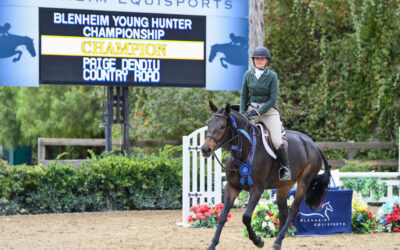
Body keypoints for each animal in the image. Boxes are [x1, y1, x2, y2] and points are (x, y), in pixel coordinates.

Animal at [200, 100, 332, 249]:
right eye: (208, 123)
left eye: (222, 126)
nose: (205, 149)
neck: (244, 152)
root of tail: (313, 145)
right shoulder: (232, 187)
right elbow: (222, 216)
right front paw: (212, 245)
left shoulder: (257, 189)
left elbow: (246, 217)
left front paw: (258, 240)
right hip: (284, 186)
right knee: (283, 213)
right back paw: (277, 243)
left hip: (304, 182)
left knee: (293, 211)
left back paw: (277, 241)